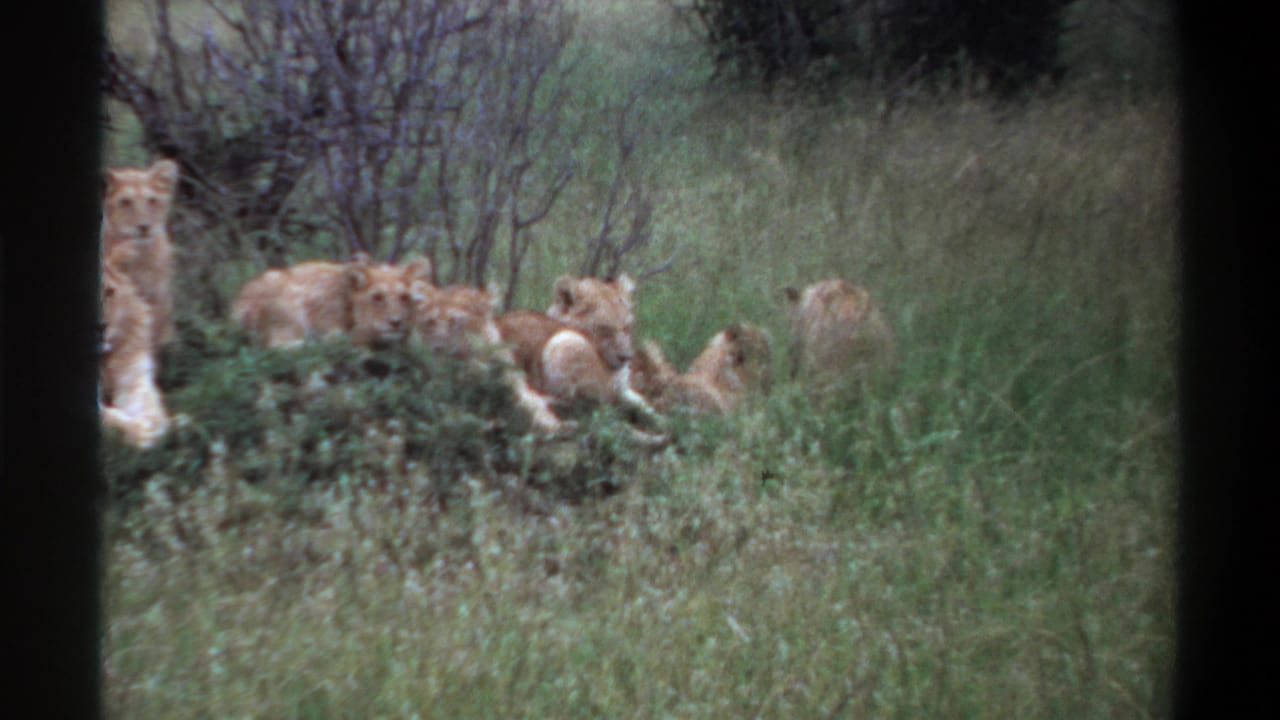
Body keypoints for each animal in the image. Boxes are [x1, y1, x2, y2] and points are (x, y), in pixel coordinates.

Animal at [99, 259, 170, 449]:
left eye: (109, 292)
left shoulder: (134, 379)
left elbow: (149, 401)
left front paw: (157, 422)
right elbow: (108, 418)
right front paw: (141, 434)